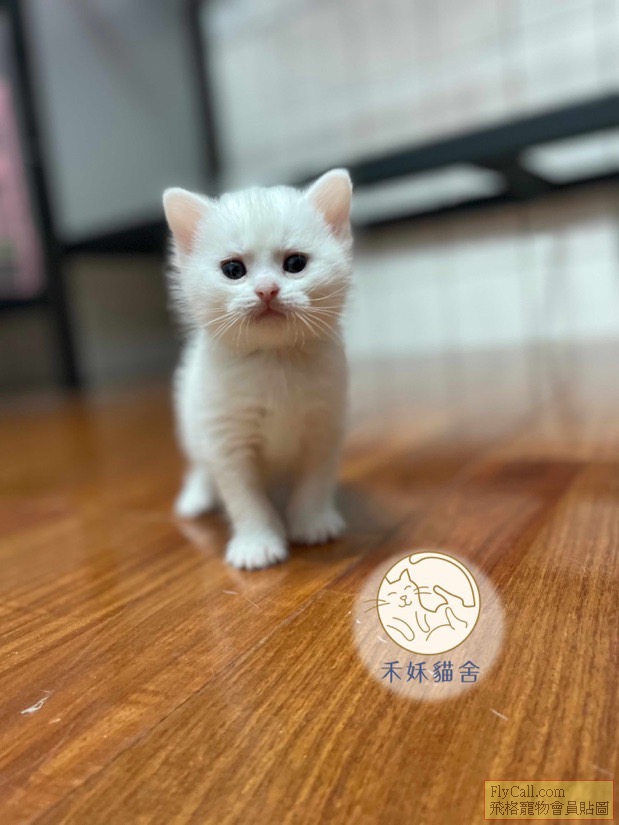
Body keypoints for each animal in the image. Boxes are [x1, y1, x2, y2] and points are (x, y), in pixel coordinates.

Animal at [163, 169, 353, 570]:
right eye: (233, 270)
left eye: (295, 264)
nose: (267, 290)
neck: (274, 359)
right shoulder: (226, 436)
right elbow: (243, 497)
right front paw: (257, 543)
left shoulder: (325, 425)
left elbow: (315, 481)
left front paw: (312, 522)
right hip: (191, 417)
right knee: (201, 464)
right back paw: (196, 498)